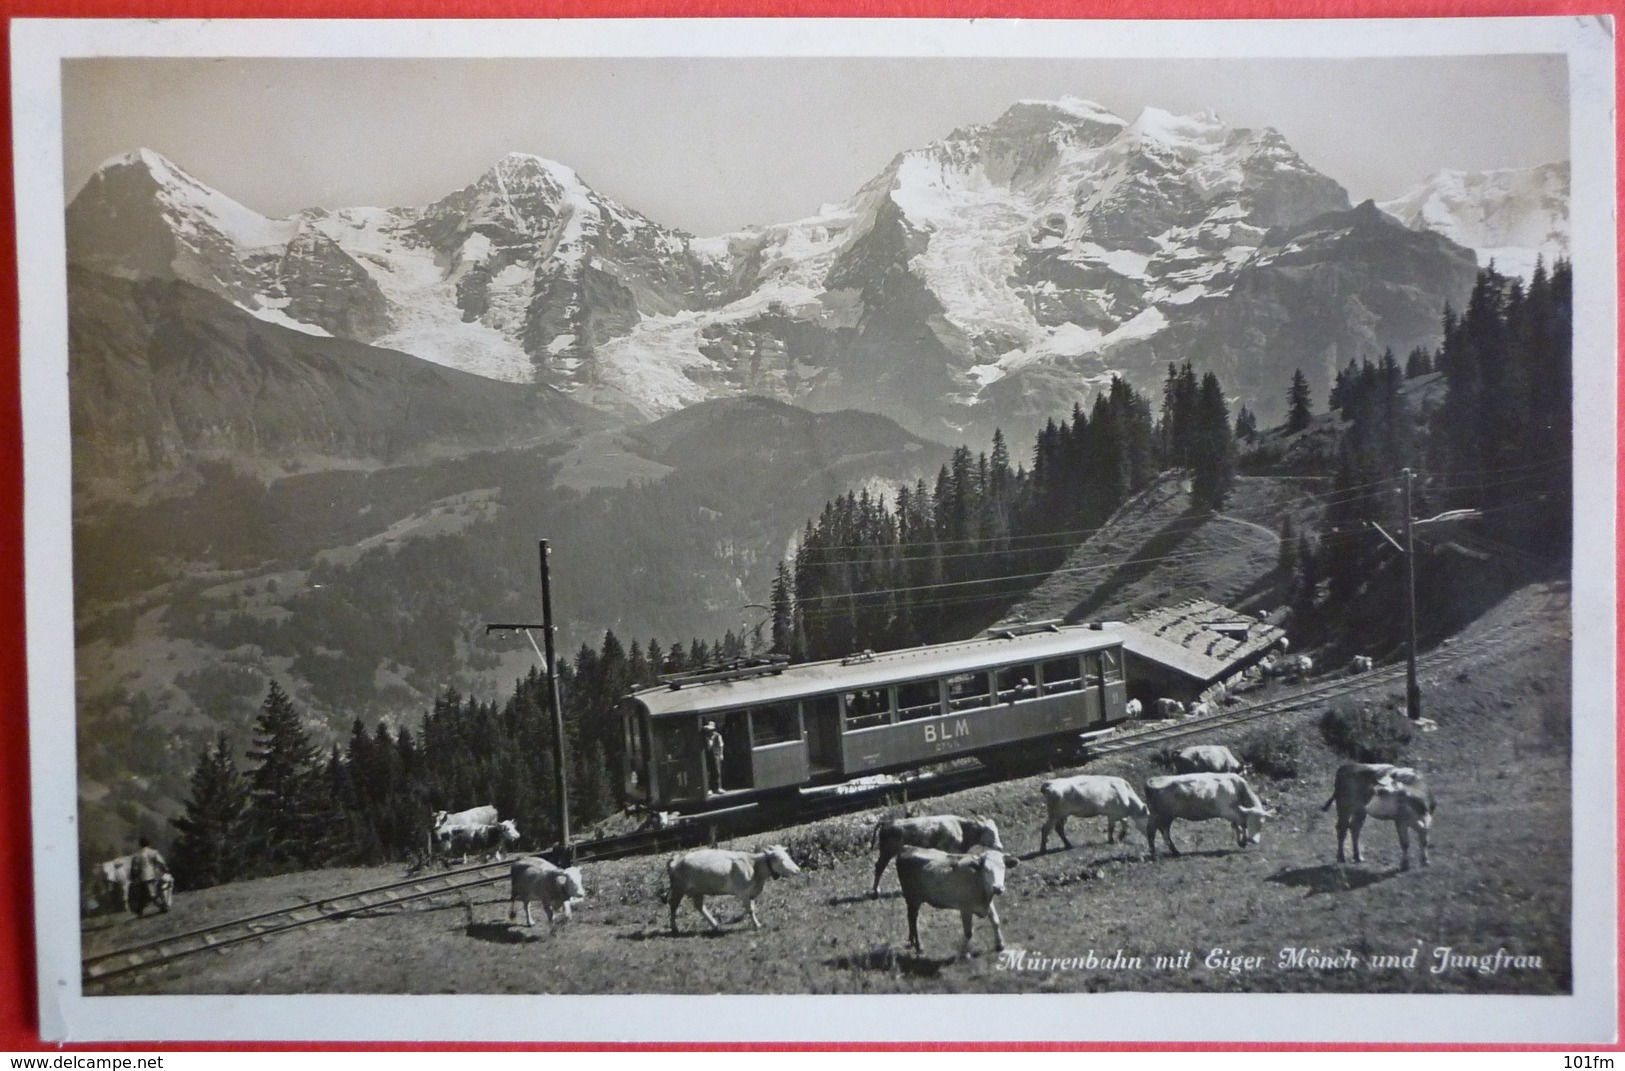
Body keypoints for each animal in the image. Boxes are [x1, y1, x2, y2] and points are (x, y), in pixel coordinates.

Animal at [666, 845, 799, 929]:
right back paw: (674, 928)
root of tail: (677, 861)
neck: (754, 866)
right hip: (679, 888)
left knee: (699, 907)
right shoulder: (743, 893)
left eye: (788, 856)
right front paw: (757, 925)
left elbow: (752, 908)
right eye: (780, 859)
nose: (798, 870)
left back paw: (715, 925)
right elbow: (750, 910)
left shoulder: (750, 893)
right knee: (673, 906)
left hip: (697, 890)